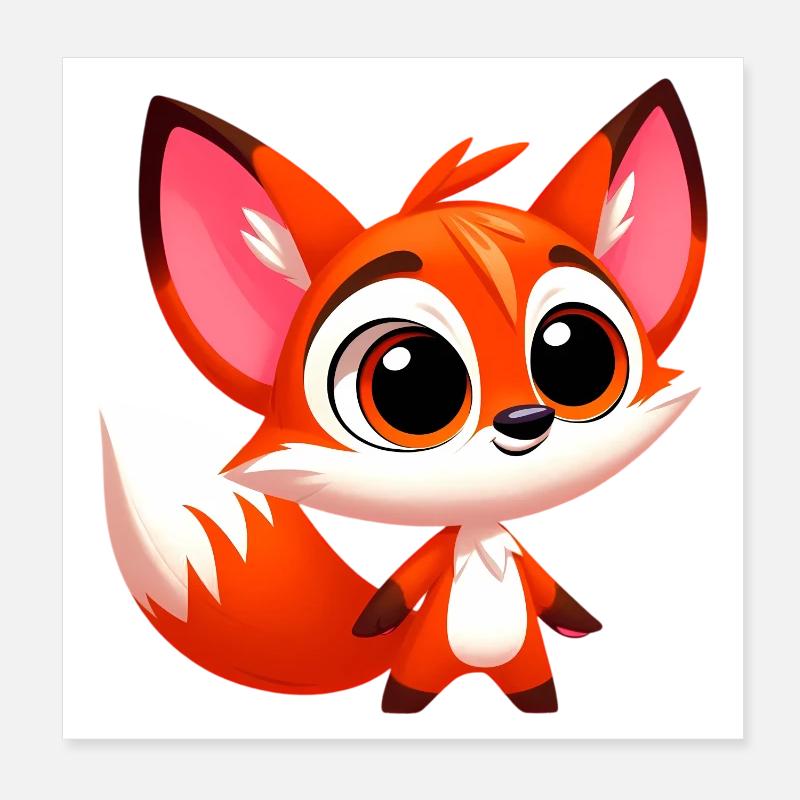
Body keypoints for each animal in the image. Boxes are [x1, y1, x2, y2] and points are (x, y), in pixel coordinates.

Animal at [102, 78, 706, 713]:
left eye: (577, 352)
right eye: (411, 378)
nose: (526, 420)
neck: (480, 533)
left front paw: (581, 624)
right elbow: (396, 592)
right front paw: (372, 624)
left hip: (521, 664)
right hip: (427, 660)